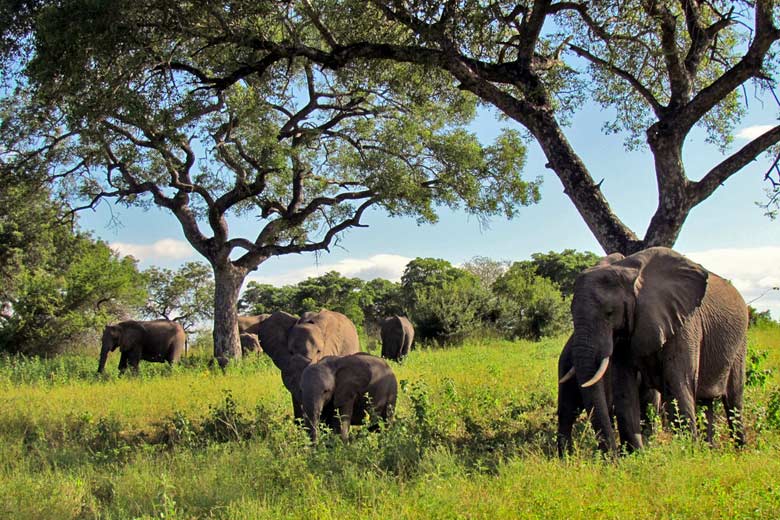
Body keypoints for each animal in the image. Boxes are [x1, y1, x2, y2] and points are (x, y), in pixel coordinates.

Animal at [556, 246, 748, 452]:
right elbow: (625, 388)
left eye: (609, 313)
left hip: (739, 344)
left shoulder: (685, 323)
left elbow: (677, 384)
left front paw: (687, 452)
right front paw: (636, 454)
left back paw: (738, 451)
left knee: (733, 400)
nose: (612, 455)